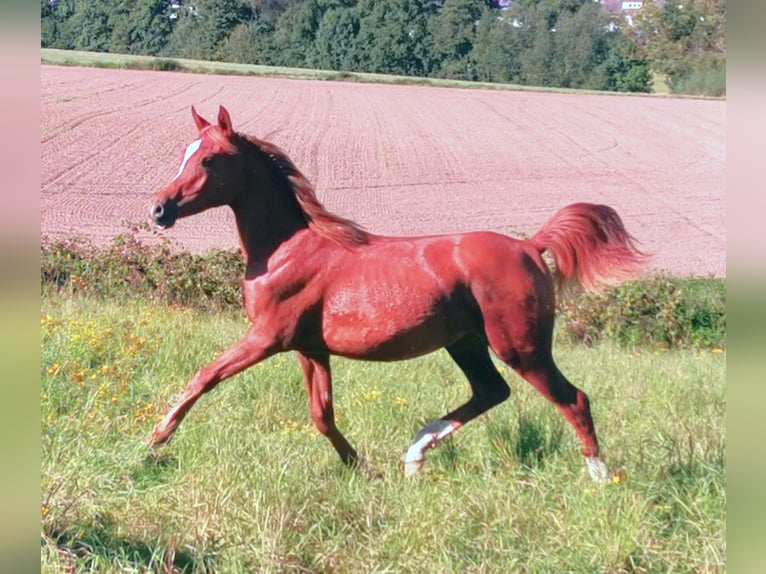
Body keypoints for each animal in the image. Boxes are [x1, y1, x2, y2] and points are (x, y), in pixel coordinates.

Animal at [146, 107, 648, 482]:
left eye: (209, 159)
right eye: (186, 152)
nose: (159, 209)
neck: (288, 249)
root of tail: (529, 246)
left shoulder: (268, 336)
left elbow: (204, 376)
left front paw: (153, 440)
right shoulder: (310, 348)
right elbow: (322, 414)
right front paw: (363, 470)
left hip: (520, 346)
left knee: (572, 399)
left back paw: (600, 479)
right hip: (467, 344)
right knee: (491, 391)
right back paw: (414, 455)